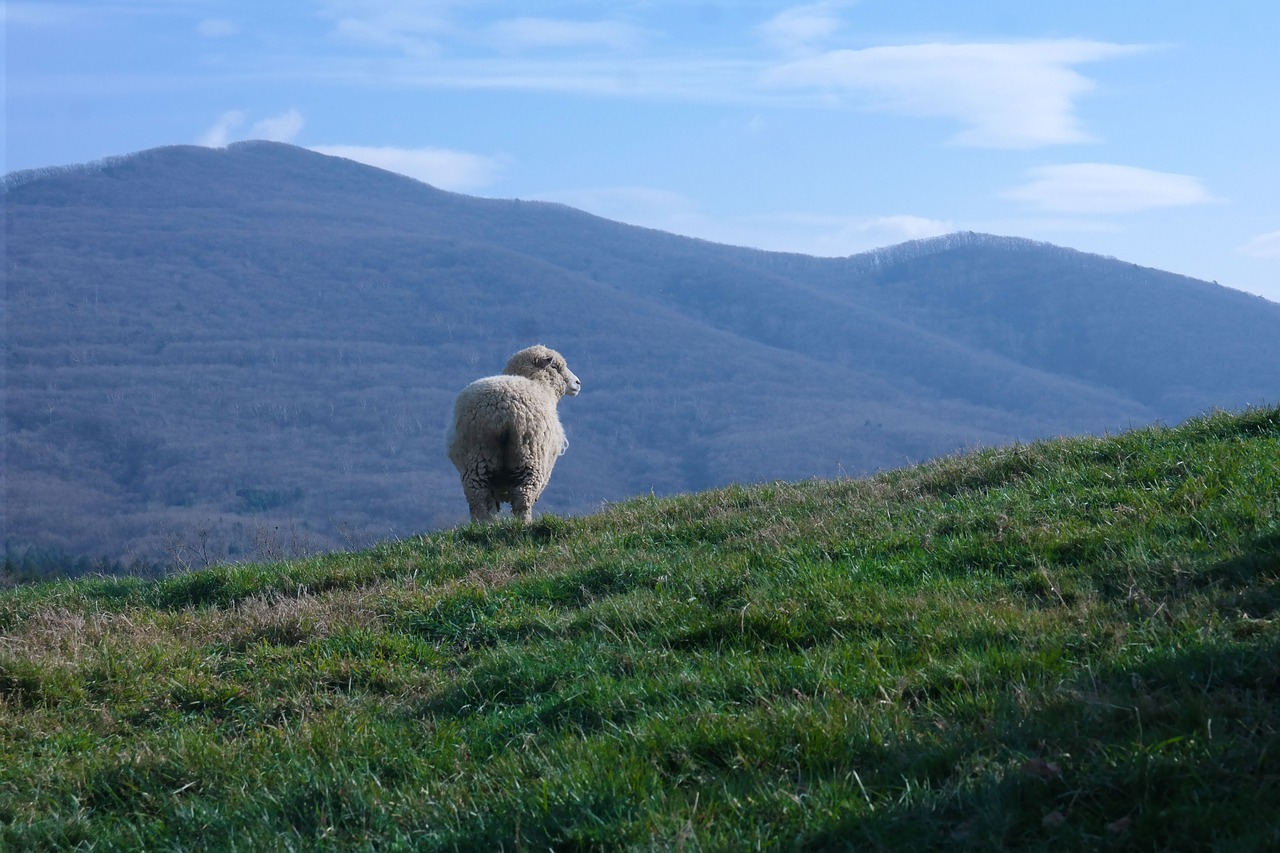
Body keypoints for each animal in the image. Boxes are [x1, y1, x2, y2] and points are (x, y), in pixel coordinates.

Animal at [442, 343, 578, 517]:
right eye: (555, 366)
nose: (577, 383)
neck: (538, 382)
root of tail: (503, 411)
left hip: (475, 456)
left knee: (478, 498)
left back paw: (483, 522)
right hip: (531, 457)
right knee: (523, 497)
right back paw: (524, 522)